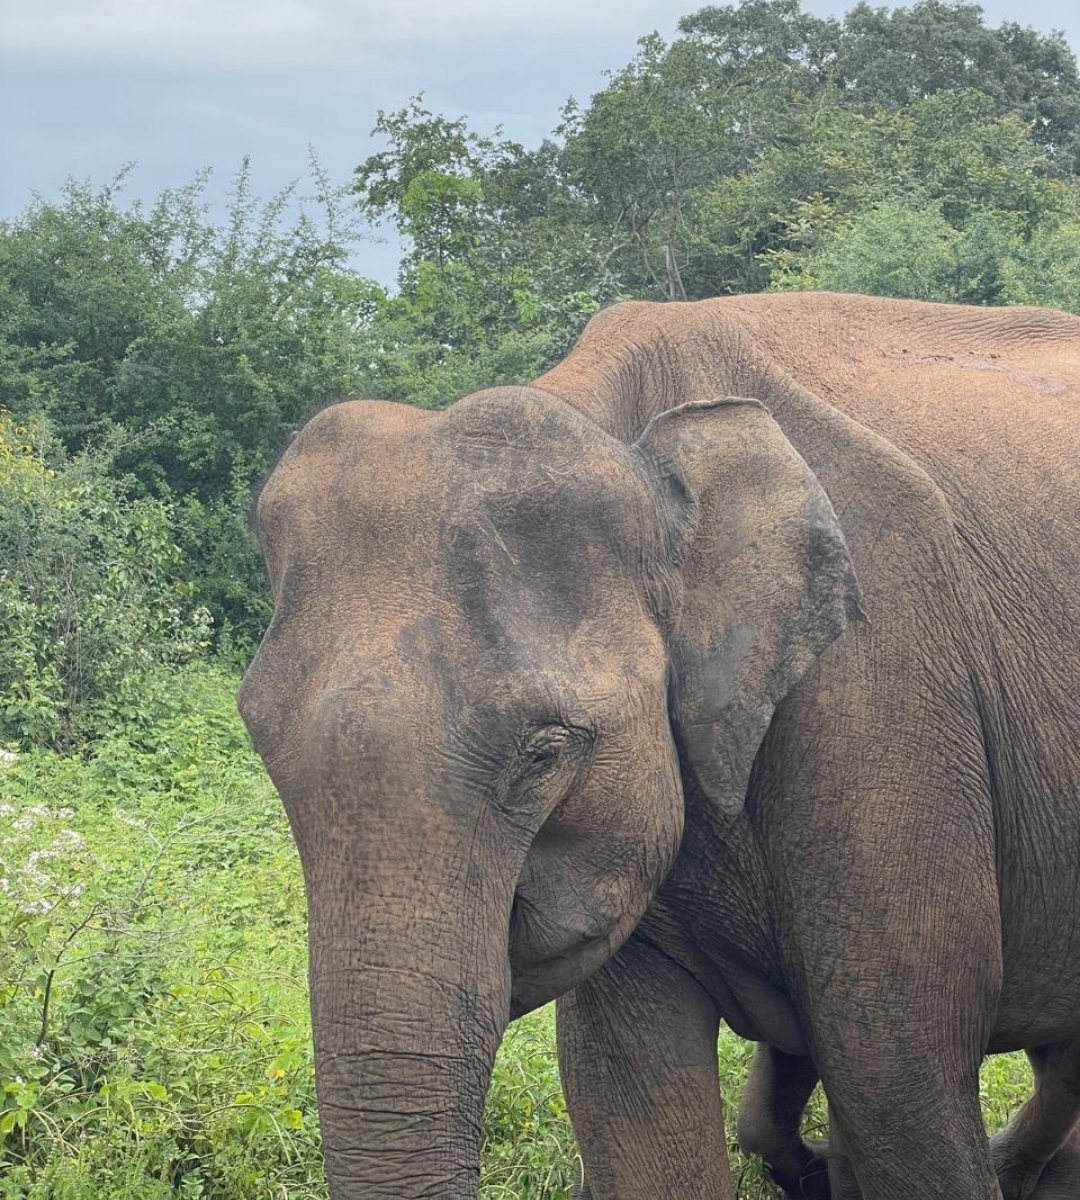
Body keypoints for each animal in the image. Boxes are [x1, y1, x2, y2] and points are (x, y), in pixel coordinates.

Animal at [238, 292, 1080, 1200]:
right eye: (260, 741)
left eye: (546, 753)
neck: (618, 422)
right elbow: (630, 1091)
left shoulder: (884, 683)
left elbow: (901, 1067)